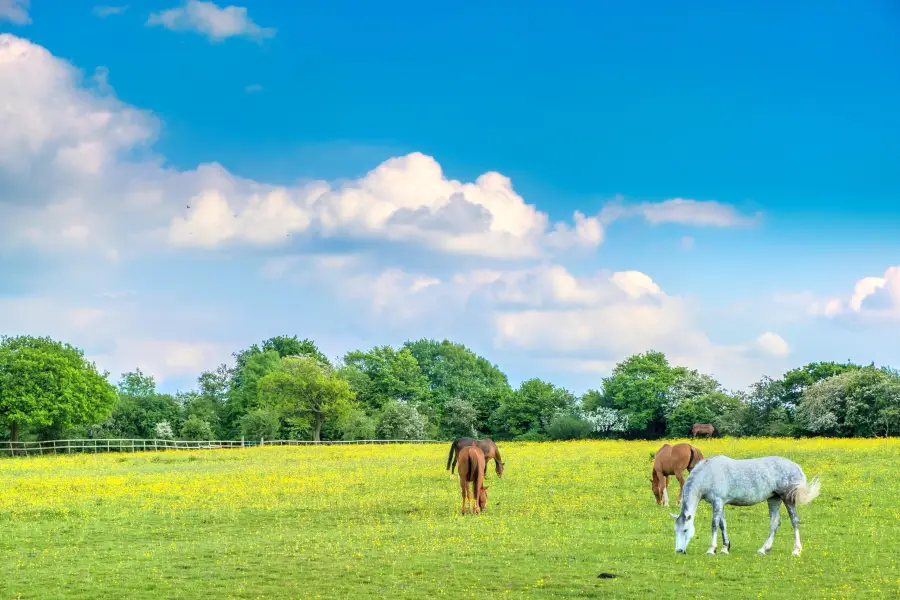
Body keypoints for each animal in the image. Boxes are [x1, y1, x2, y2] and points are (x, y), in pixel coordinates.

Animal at [672, 454, 820, 556]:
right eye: (676, 530)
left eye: (685, 530)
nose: (679, 550)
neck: (708, 474)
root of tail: (796, 466)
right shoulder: (721, 503)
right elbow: (722, 524)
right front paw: (725, 548)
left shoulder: (718, 502)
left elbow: (714, 524)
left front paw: (711, 549)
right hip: (774, 499)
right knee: (774, 523)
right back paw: (764, 549)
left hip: (787, 499)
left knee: (794, 521)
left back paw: (796, 550)